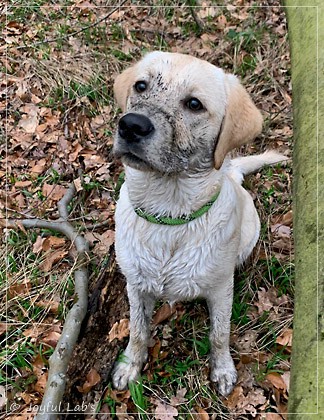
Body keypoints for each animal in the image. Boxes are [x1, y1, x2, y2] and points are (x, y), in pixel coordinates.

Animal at [110, 50, 286, 396]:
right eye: (140, 85)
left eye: (194, 104)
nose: (131, 126)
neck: (168, 217)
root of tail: (232, 172)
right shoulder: (136, 286)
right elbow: (137, 330)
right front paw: (129, 365)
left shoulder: (220, 290)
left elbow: (219, 334)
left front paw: (223, 369)